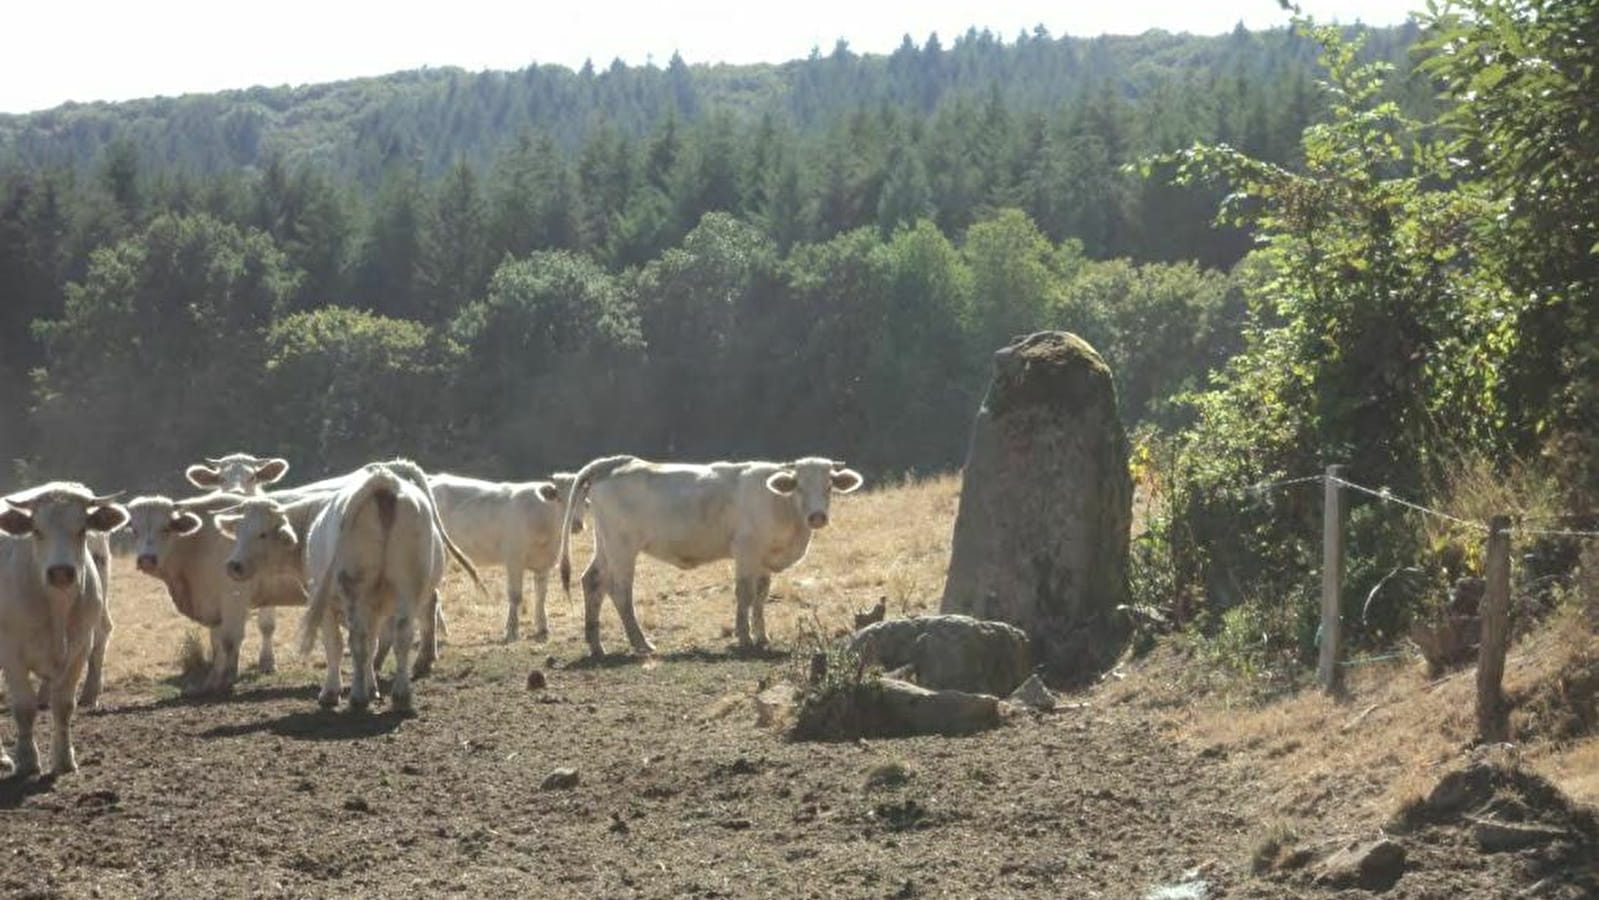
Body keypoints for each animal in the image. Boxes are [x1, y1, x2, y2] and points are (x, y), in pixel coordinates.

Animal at [1, 482, 127, 776]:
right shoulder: (11, 653)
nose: (60, 572)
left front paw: (63, 759)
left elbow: (64, 705)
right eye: (37, 531)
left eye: (81, 529)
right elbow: (24, 708)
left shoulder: (79, 647)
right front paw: (27, 760)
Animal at [428, 476, 585, 645]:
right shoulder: (514, 559)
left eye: (583, 498)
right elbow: (515, 596)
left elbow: (541, 596)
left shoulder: (544, 564)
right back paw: (440, 629)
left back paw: (441, 630)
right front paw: (512, 630)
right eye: (559, 498)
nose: (576, 524)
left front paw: (542, 628)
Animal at [559, 457, 863, 655]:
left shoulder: (763, 559)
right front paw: (744, 637)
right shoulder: (746, 551)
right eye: (799, 485)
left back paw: (596, 645)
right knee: (620, 591)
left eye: (829, 486)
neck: (781, 504)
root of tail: (614, 464)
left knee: (592, 582)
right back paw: (641, 643)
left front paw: (762, 635)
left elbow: (761, 596)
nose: (817, 516)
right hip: (622, 548)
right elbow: (745, 594)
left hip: (605, 545)